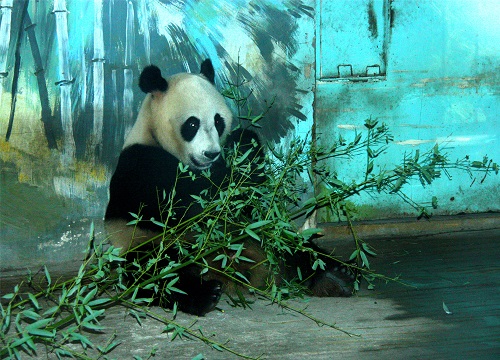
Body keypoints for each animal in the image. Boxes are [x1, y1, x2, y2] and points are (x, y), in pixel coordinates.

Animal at [104, 59, 354, 316]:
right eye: (192, 123)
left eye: (218, 121)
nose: (211, 153)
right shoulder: (143, 167)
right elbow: (191, 205)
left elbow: (244, 201)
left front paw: (244, 142)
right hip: (147, 242)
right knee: (155, 270)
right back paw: (204, 294)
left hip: (261, 237)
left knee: (291, 245)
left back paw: (333, 273)